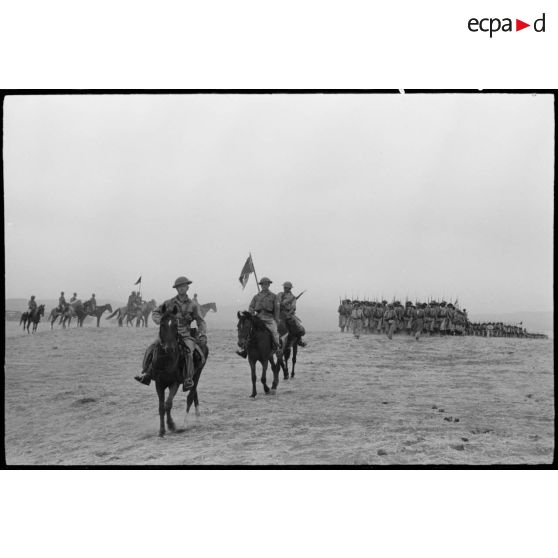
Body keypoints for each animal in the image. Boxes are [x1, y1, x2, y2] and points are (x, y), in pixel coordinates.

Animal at [145, 306, 211, 438]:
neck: (166, 361)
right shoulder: (159, 384)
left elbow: (168, 404)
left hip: (197, 374)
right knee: (194, 393)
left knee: (190, 396)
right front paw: (161, 430)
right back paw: (197, 416)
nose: (170, 347)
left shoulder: (174, 383)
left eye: (176, 324)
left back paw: (184, 424)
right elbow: (161, 407)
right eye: (162, 324)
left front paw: (171, 425)